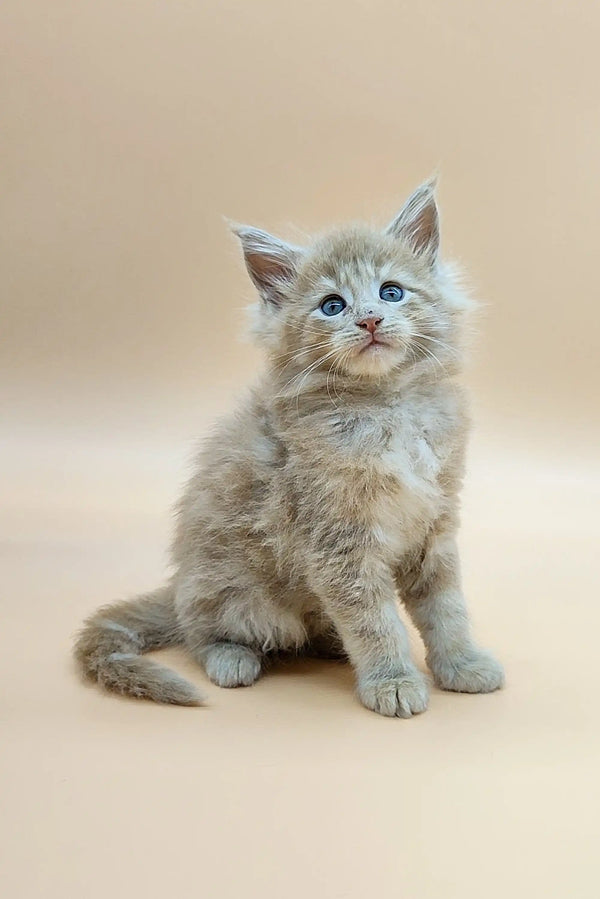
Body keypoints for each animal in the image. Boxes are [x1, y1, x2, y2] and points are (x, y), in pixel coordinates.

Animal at [76, 181, 506, 716]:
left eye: (391, 292)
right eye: (332, 305)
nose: (370, 319)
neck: (388, 406)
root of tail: (178, 587)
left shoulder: (435, 524)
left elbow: (445, 607)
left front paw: (462, 664)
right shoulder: (336, 541)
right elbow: (373, 620)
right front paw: (392, 681)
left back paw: (331, 645)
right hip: (238, 597)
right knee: (201, 633)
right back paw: (231, 658)